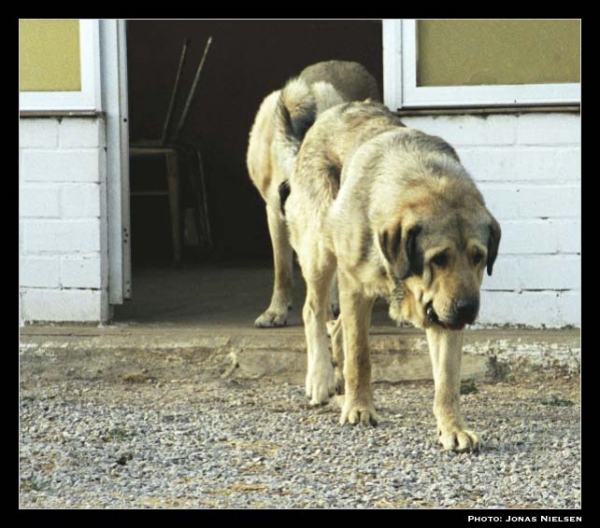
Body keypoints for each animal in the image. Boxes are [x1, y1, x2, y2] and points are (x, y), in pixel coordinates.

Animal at [286, 100, 502, 454]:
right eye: (438, 259)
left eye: (478, 258)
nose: (468, 309)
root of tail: (333, 110)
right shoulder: (354, 287)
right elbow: (360, 355)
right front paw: (359, 408)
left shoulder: (443, 315)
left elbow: (448, 381)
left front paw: (453, 428)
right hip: (319, 249)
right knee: (313, 311)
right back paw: (320, 378)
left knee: (336, 327)